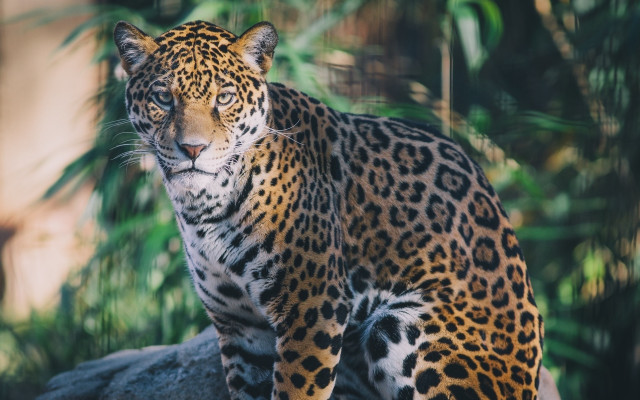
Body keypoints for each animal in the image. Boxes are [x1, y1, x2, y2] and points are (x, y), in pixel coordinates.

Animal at [114, 20, 544, 400]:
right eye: (163, 98)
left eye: (224, 98)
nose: (193, 149)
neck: (207, 206)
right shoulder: (240, 327)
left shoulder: (312, 307)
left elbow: (296, 389)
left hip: (403, 325)